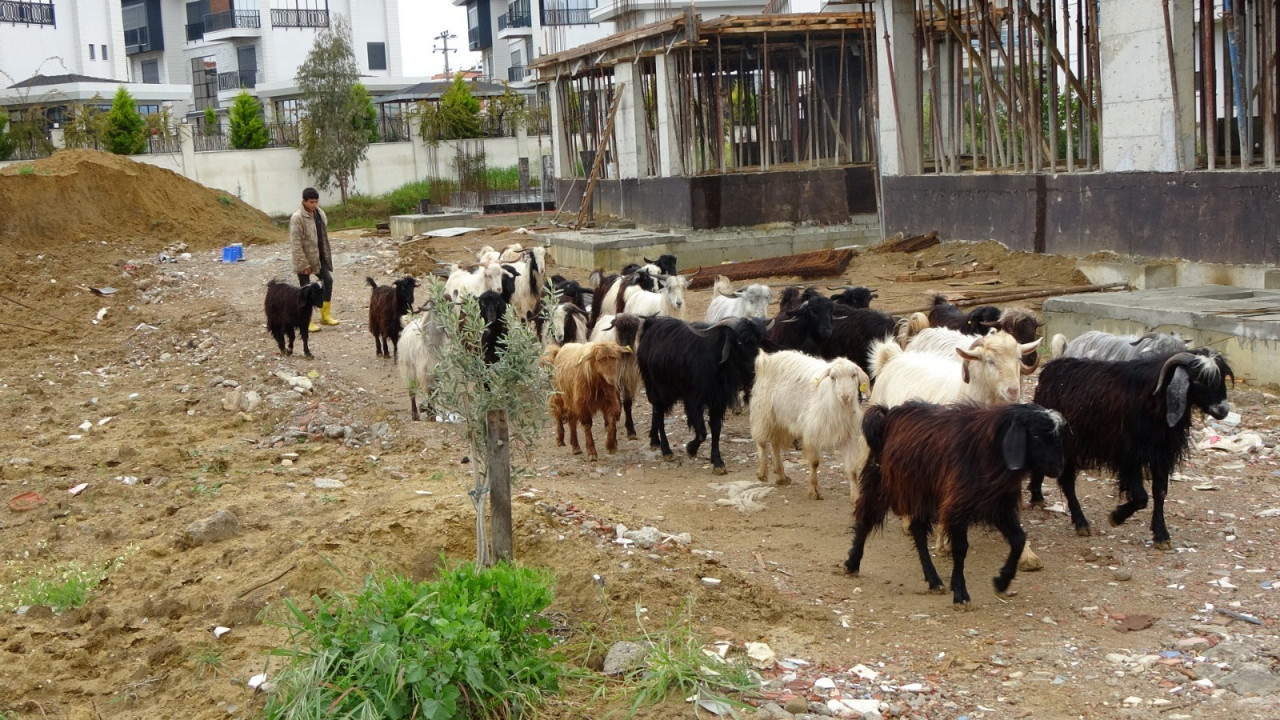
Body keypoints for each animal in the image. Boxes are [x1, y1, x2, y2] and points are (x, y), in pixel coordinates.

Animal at [637, 313, 762, 471]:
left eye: (757, 340)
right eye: (739, 342)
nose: (755, 367)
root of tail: (651, 325)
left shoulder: (717, 400)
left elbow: (716, 429)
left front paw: (717, 462)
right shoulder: (693, 399)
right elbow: (702, 432)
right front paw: (691, 449)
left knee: (655, 411)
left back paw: (654, 440)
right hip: (655, 387)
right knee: (658, 413)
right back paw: (666, 451)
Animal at [747, 353, 870, 499]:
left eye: (853, 375)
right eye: (833, 377)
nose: (845, 397)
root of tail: (767, 358)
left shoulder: (847, 436)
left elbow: (852, 469)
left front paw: (856, 497)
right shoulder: (812, 433)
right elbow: (814, 463)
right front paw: (813, 491)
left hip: (780, 419)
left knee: (775, 443)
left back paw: (781, 476)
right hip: (763, 412)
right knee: (761, 442)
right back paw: (762, 472)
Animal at [844, 399, 1064, 602]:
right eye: (1036, 435)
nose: (1058, 468)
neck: (989, 450)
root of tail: (887, 413)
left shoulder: (997, 505)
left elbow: (1018, 539)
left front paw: (1002, 581)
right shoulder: (958, 506)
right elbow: (960, 548)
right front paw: (960, 593)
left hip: (923, 493)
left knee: (917, 530)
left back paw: (934, 580)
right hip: (882, 483)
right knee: (866, 518)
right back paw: (852, 563)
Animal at [1024, 351, 1233, 545]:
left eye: (1222, 376)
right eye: (1198, 379)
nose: (1223, 410)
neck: (1154, 399)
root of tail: (1048, 371)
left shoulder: (1161, 455)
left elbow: (1160, 493)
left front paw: (1161, 535)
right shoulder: (1128, 456)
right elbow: (1141, 497)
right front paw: (1116, 517)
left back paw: (1037, 497)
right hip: (1068, 445)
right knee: (1067, 482)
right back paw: (1080, 522)